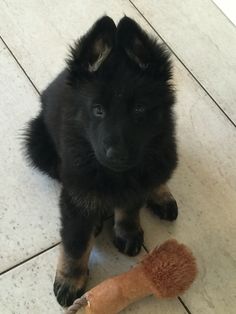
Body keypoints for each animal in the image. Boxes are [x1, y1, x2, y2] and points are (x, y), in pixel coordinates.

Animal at [24, 16, 178, 306]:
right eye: (98, 110)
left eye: (139, 109)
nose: (116, 155)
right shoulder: (76, 192)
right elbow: (75, 241)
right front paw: (70, 279)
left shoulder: (137, 176)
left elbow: (130, 204)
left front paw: (128, 230)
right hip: (37, 144)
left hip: (166, 149)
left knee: (157, 173)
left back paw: (161, 195)